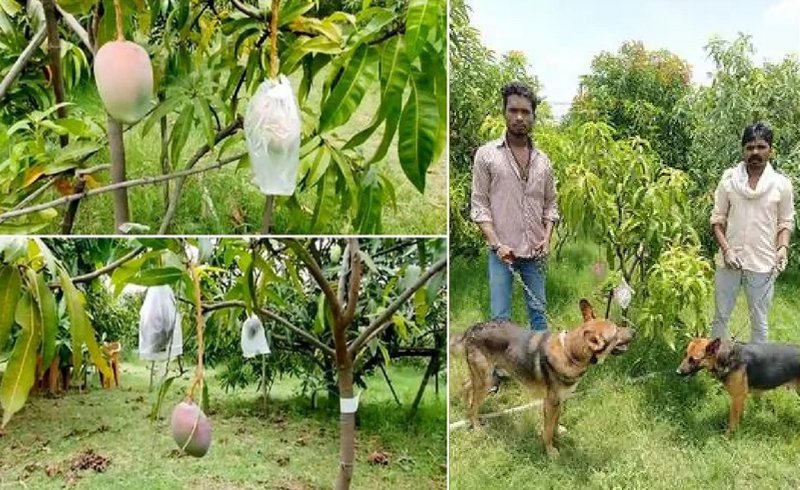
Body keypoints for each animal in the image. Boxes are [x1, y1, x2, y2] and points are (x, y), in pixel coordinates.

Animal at [454, 298, 636, 456]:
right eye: (616, 332)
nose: (634, 331)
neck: (570, 353)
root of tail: (473, 329)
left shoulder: (557, 401)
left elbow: (553, 423)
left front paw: (557, 434)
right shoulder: (552, 402)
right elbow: (547, 430)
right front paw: (550, 450)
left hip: (484, 377)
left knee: (465, 386)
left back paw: (465, 406)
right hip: (485, 380)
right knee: (473, 404)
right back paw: (476, 426)